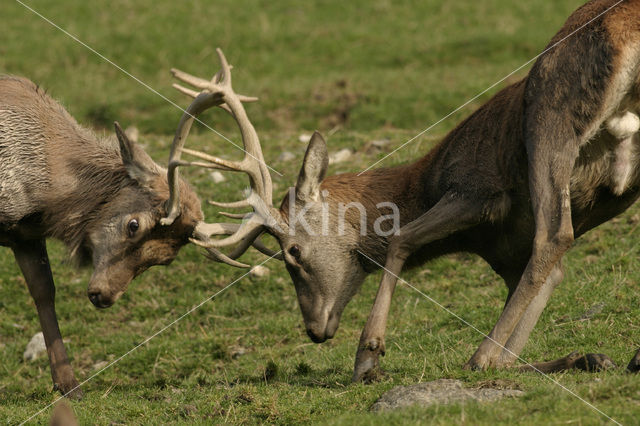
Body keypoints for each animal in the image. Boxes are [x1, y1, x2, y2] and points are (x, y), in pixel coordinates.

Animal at [0, 75, 205, 398]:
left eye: (166, 258)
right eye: (134, 225)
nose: (105, 295)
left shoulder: (25, 235)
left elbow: (44, 291)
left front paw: (69, 385)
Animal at [169, 0, 640, 384]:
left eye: (293, 252)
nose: (314, 330)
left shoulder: (477, 189)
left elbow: (400, 237)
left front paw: (367, 355)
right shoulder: (509, 257)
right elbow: (532, 315)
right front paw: (586, 358)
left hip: (548, 114)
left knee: (555, 234)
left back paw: (476, 356)